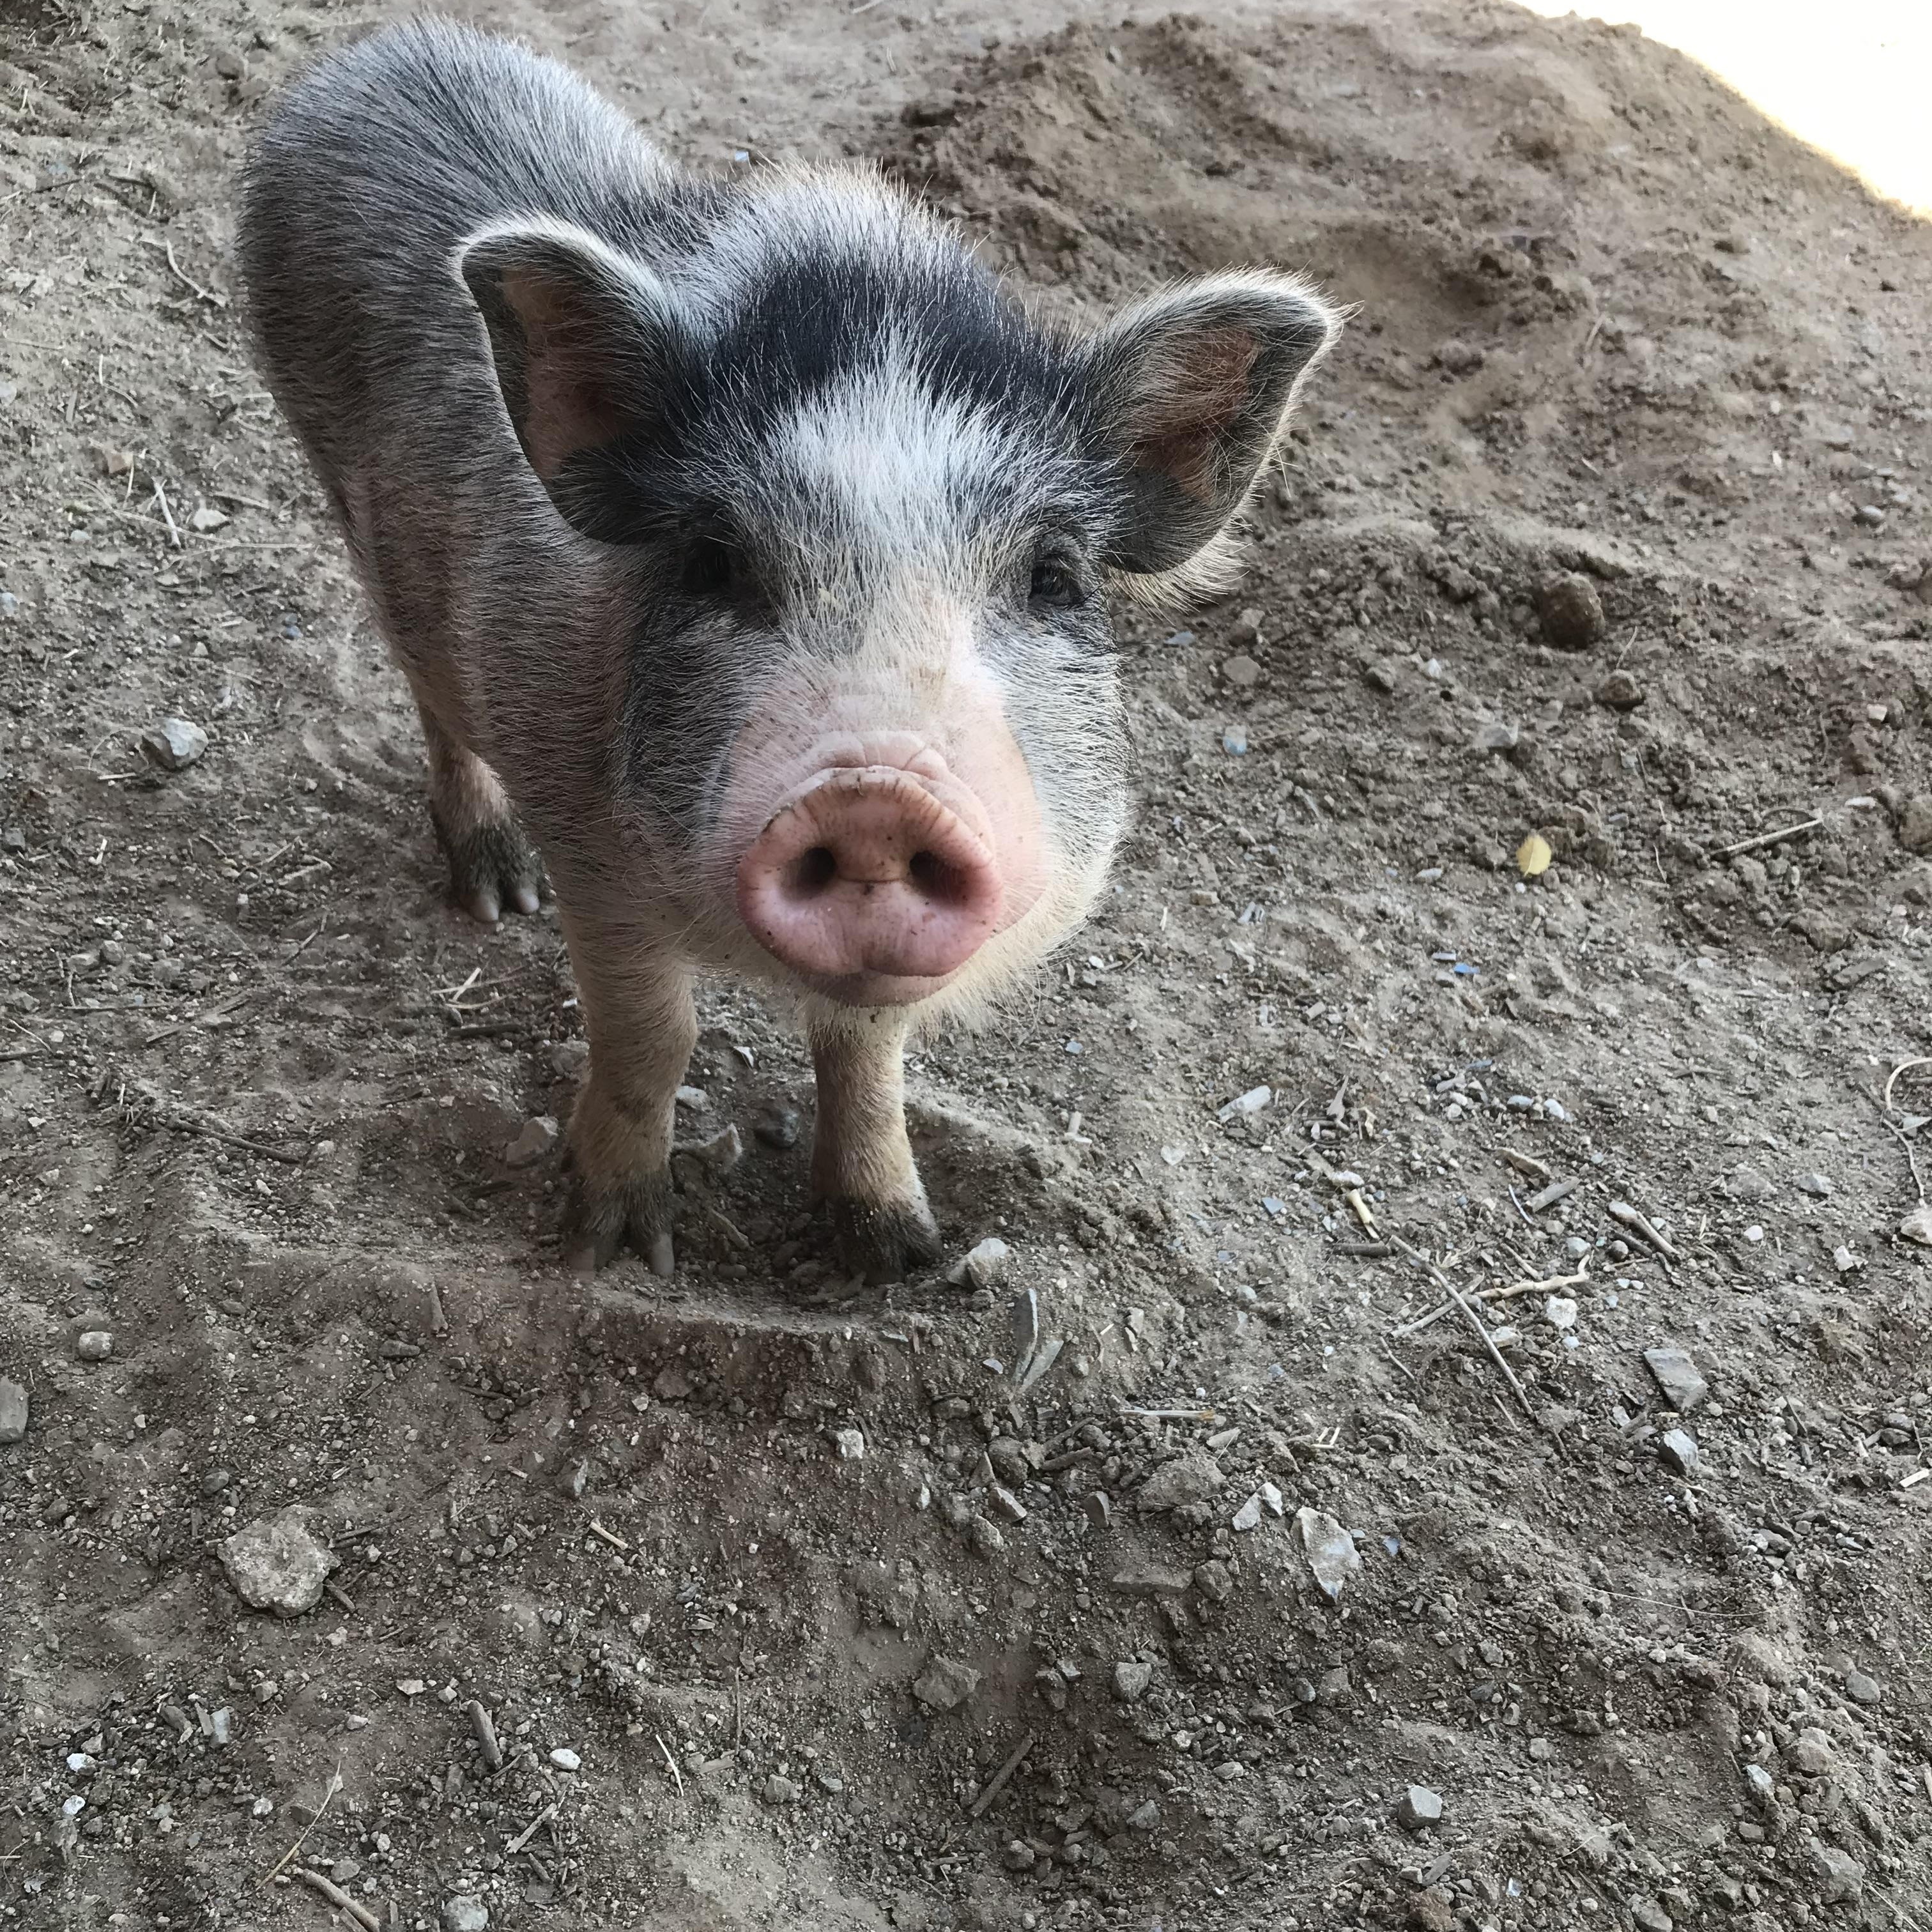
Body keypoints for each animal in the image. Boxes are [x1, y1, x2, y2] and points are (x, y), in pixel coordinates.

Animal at [238, 21, 1340, 1281]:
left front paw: (903, 1255)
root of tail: (381, 47)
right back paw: (496, 892)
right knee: (430, 694)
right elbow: (652, 1034)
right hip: (340, 490)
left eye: (1053, 575)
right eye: (716, 561)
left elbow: (867, 1055)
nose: (876, 795)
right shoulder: (587, 837)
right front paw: (618, 1253)